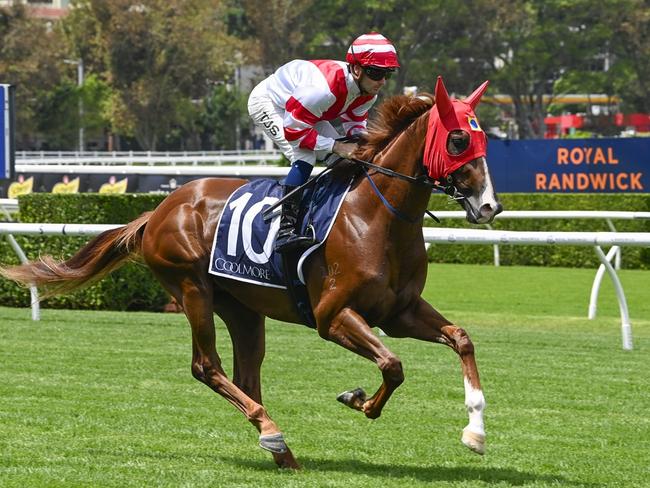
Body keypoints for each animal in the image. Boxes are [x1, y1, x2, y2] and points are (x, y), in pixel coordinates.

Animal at [2, 77, 502, 468]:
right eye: (458, 140)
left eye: (485, 143)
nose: (489, 206)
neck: (377, 215)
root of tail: (160, 208)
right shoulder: (332, 315)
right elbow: (393, 366)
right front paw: (359, 401)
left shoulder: (399, 312)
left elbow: (460, 339)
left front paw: (475, 432)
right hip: (192, 288)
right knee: (207, 366)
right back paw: (272, 432)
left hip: (242, 307)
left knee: (246, 376)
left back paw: (282, 451)